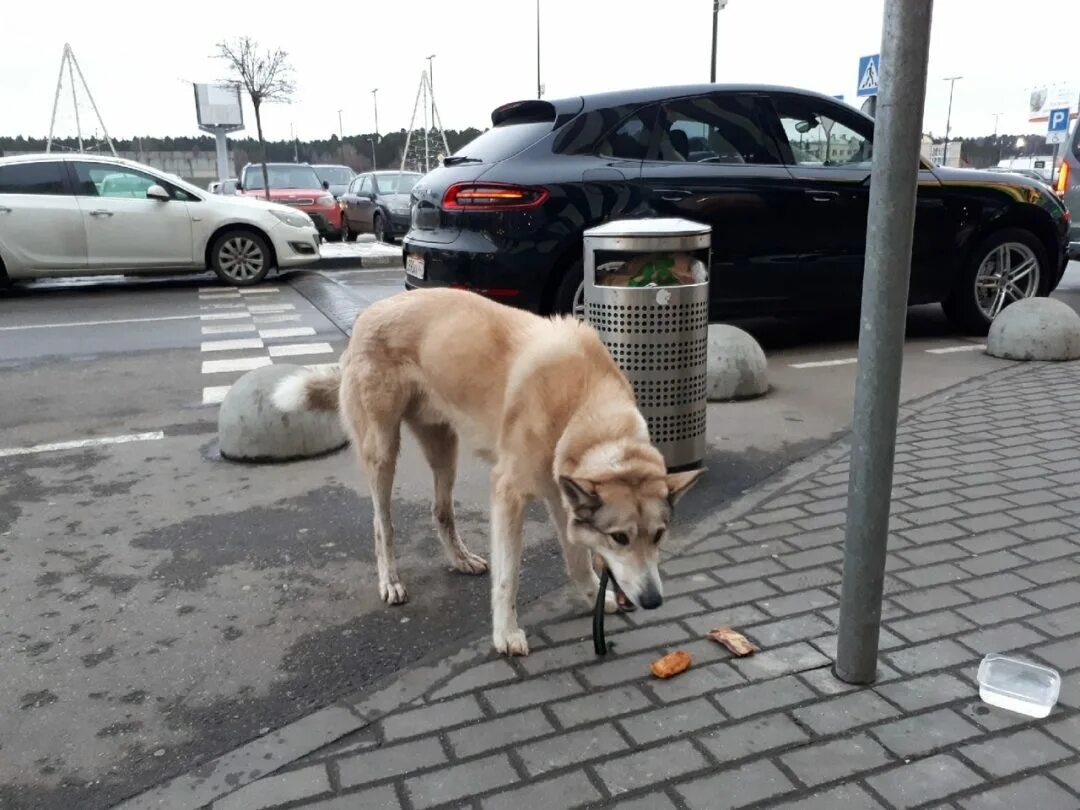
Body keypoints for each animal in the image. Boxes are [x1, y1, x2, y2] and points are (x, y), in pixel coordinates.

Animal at [274, 289, 704, 656]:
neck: (586, 410)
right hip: (383, 451)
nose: (653, 601)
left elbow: (577, 558)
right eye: (619, 538)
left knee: (441, 511)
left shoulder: (559, 496)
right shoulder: (508, 494)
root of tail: (368, 312)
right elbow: (508, 576)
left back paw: (460, 558)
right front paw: (506, 634)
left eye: (659, 535)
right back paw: (391, 580)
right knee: (383, 524)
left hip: (444, 449)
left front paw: (592, 594)